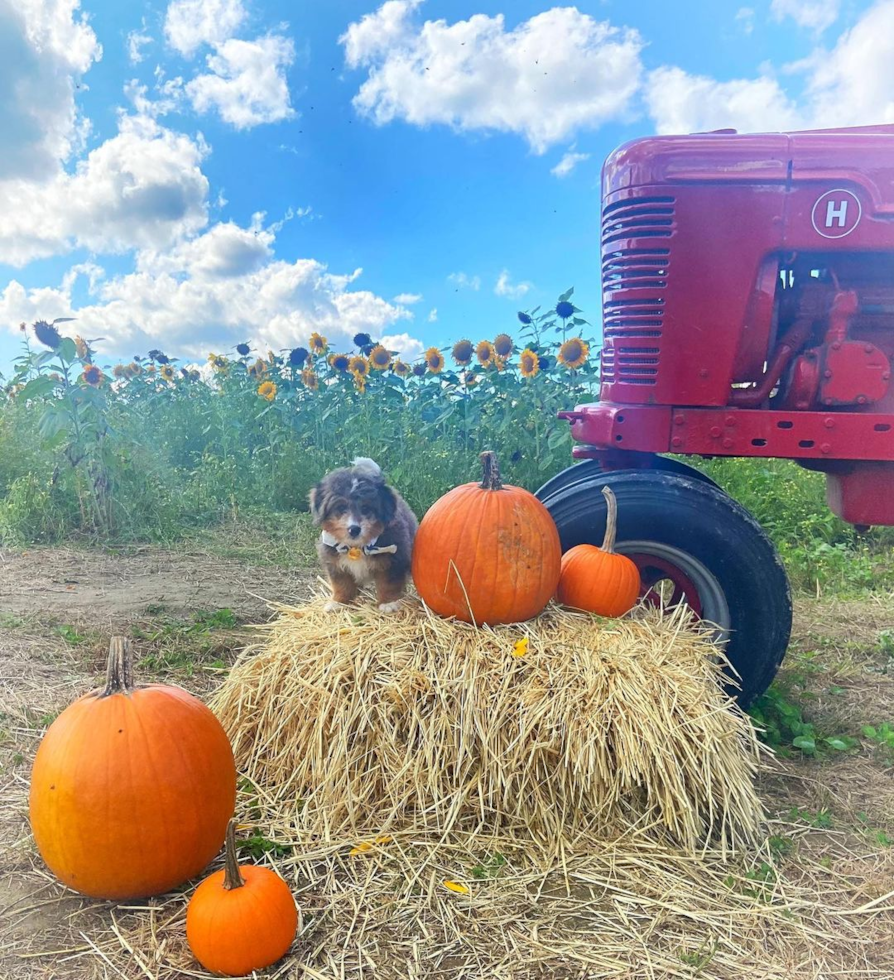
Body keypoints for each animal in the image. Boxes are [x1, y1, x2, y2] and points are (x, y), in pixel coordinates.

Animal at [310, 460, 418, 612]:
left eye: (366, 508)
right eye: (341, 508)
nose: (354, 529)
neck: (356, 547)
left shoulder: (394, 561)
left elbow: (388, 583)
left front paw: (388, 603)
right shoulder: (334, 562)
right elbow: (341, 584)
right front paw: (338, 602)